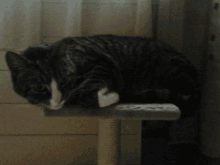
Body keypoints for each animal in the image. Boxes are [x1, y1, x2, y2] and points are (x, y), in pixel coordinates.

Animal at [4, 34, 201, 118]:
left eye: (63, 80)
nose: (58, 99)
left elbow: (91, 90)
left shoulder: (101, 61)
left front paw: (110, 95)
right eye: (39, 87)